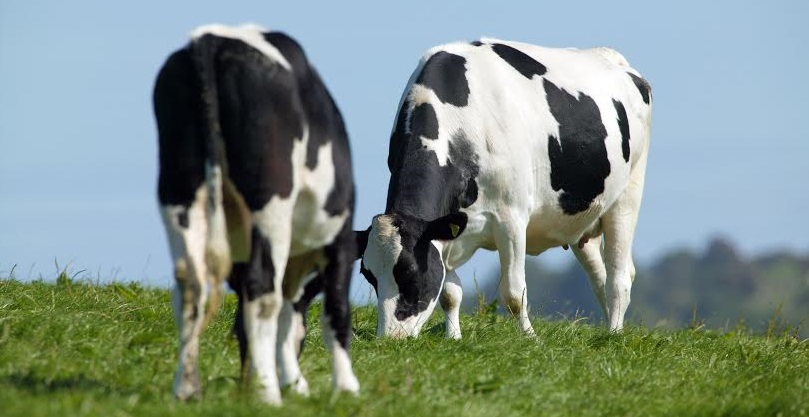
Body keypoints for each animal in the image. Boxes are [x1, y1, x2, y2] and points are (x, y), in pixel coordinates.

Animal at [153, 24, 359, 404]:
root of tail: (212, 38)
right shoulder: (340, 240)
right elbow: (334, 310)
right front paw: (343, 386)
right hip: (270, 197)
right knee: (262, 291)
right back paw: (267, 393)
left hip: (178, 188)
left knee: (190, 284)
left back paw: (187, 388)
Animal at [355, 38, 652, 339]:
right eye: (368, 275)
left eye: (410, 271)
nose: (390, 338)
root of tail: (613, 58)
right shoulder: (448, 226)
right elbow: (449, 293)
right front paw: (454, 337)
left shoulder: (512, 217)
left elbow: (512, 292)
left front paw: (530, 338)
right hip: (581, 217)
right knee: (599, 276)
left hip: (627, 196)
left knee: (619, 276)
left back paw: (614, 333)